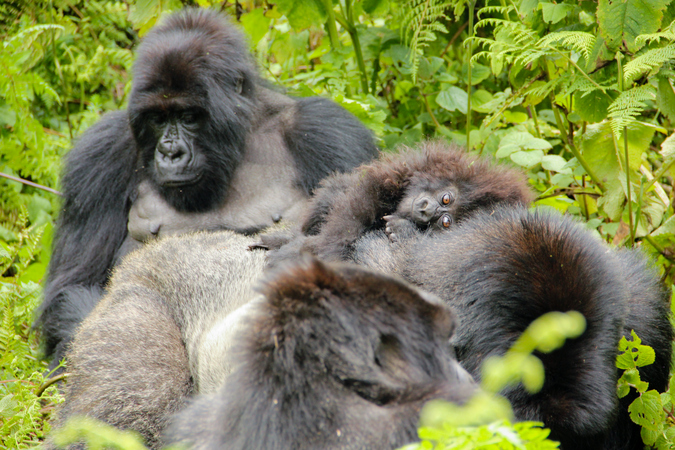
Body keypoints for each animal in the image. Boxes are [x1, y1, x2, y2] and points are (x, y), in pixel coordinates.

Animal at [38, 7, 380, 366]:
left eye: (189, 116)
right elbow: (73, 286)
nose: (170, 153)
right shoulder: (98, 156)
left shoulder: (329, 132)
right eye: (158, 118)